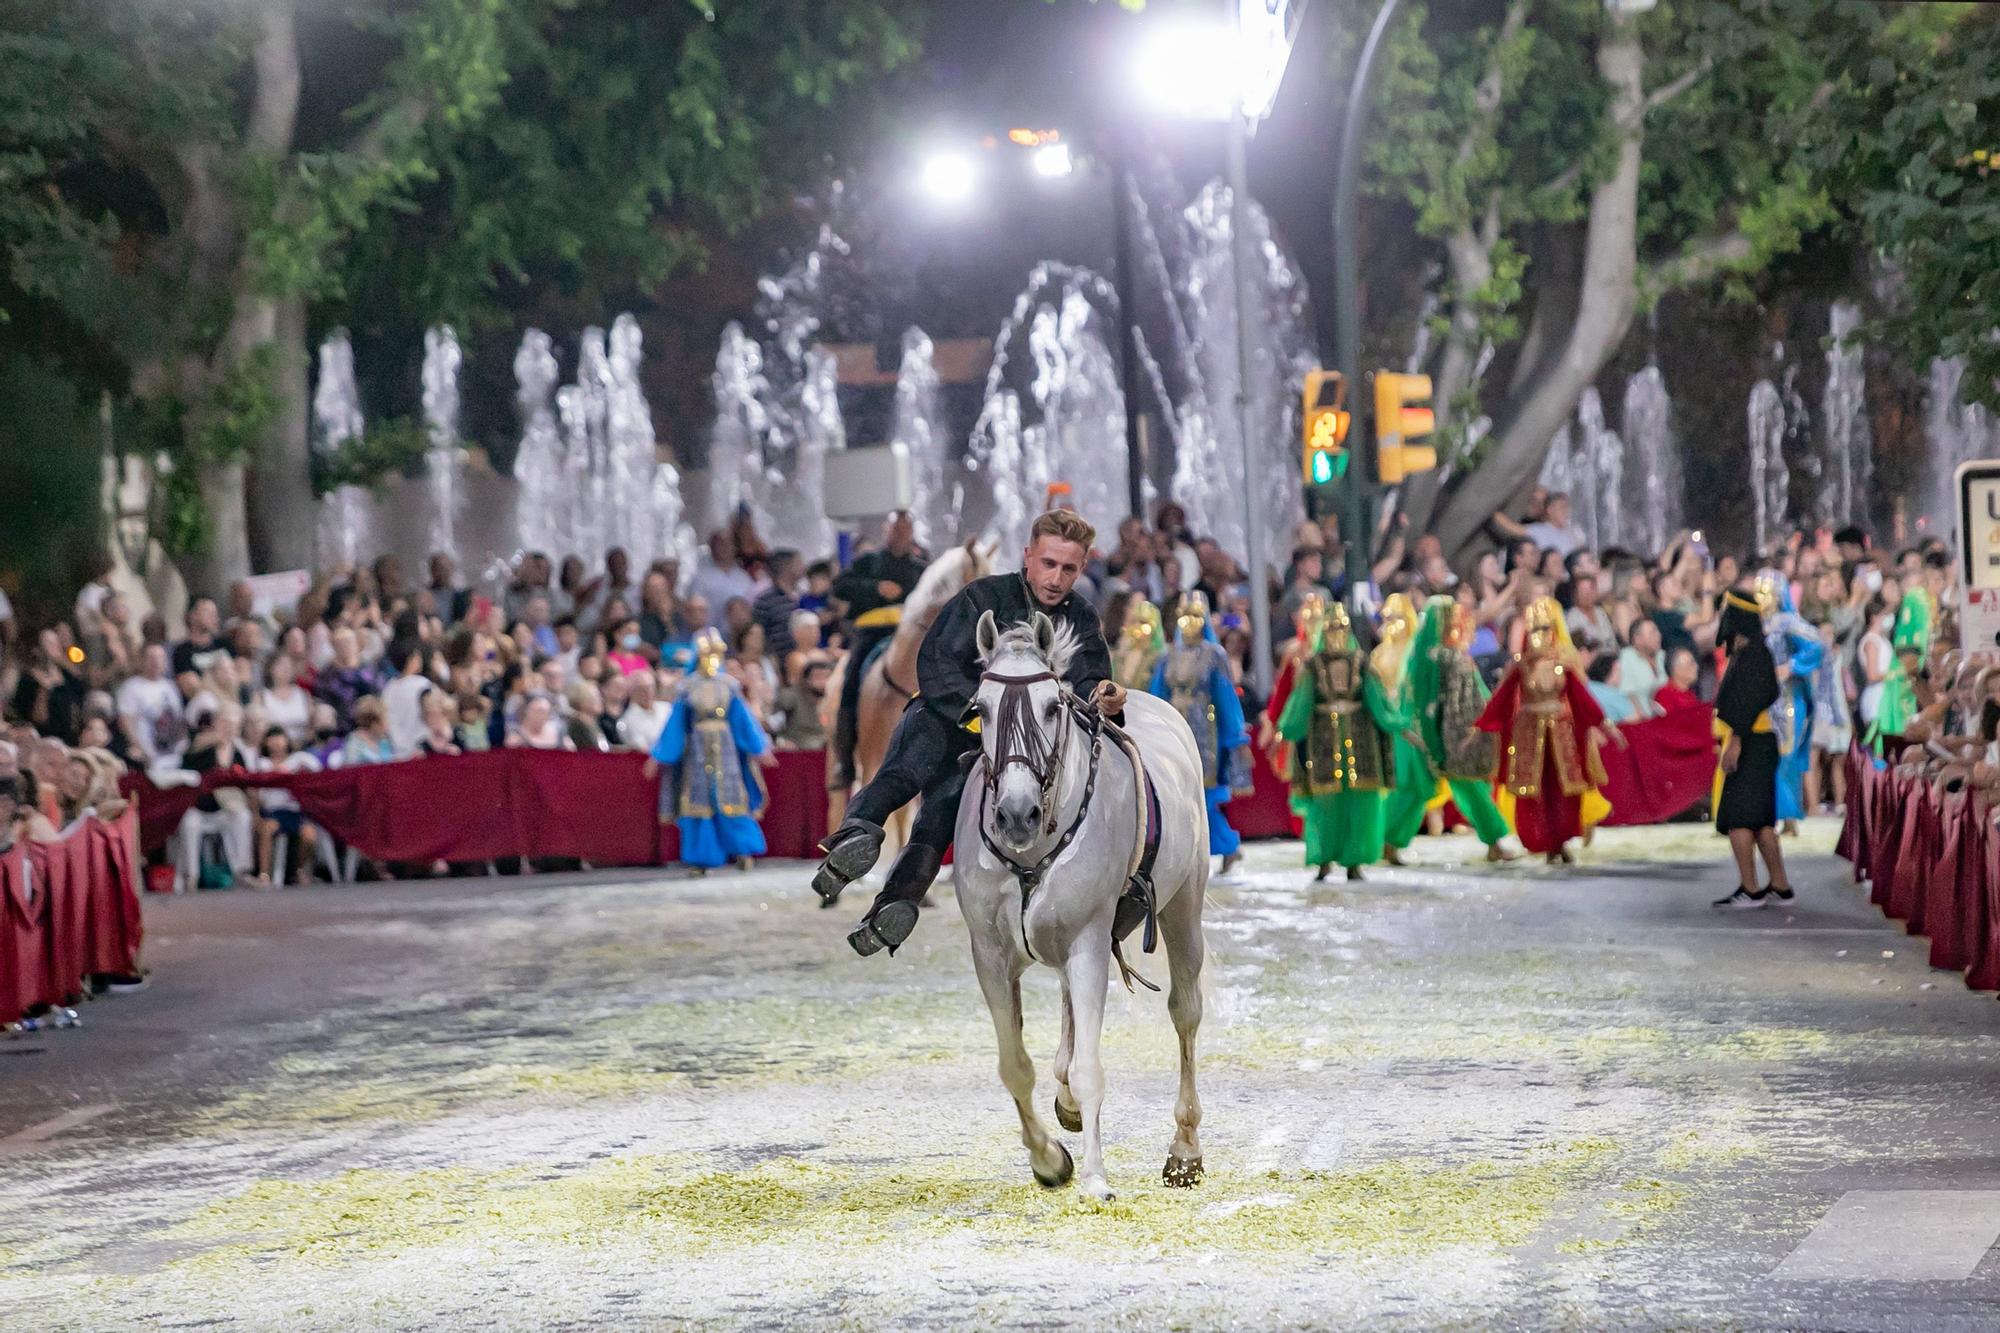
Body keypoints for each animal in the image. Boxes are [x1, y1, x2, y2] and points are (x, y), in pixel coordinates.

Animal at [960, 608, 1208, 1200]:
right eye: (981, 709)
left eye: (1052, 706)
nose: (1017, 814)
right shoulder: (991, 954)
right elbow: (1015, 1065)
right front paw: (1050, 1160)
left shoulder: (1089, 942)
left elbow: (1090, 1067)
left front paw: (1096, 1177)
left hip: (1183, 905)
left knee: (1185, 1013)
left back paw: (1185, 1149)